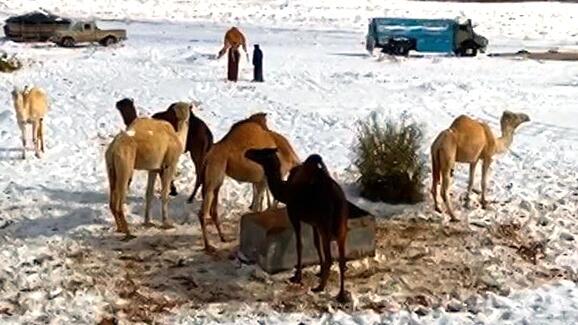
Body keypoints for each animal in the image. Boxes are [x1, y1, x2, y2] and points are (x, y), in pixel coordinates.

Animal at [104, 102, 190, 238]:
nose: (186, 117)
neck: (177, 137)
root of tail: (113, 149)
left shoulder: (153, 168)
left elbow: (149, 193)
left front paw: (148, 222)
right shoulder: (169, 165)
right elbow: (164, 193)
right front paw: (167, 224)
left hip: (111, 167)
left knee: (112, 199)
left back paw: (120, 229)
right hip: (125, 165)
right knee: (119, 200)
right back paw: (128, 232)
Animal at [197, 112, 300, 252]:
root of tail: (207, 157)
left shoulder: (262, 179)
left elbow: (261, 200)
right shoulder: (265, 178)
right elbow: (261, 202)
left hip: (216, 180)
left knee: (213, 210)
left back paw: (223, 238)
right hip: (213, 177)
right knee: (203, 212)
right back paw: (209, 246)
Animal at [245, 148, 348, 302]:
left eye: (262, 152)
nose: (247, 152)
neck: (285, 191)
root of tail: (338, 200)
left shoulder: (294, 216)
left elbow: (299, 245)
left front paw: (297, 276)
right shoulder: (313, 222)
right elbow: (315, 243)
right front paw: (319, 271)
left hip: (326, 225)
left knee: (331, 257)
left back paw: (320, 287)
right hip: (341, 226)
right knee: (341, 258)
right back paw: (341, 294)